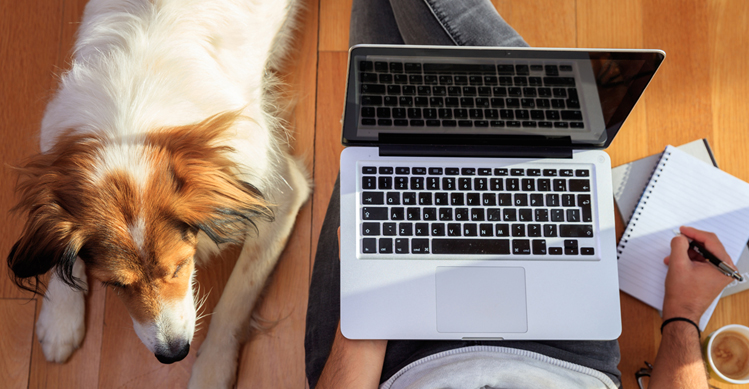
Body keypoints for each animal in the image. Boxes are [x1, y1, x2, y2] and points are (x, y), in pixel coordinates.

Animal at [6, 0, 310, 384]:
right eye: (115, 285)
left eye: (180, 267)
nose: (173, 354)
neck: (130, 129)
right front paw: (60, 317)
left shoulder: (278, 192)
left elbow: (236, 296)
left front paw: (212, 370)